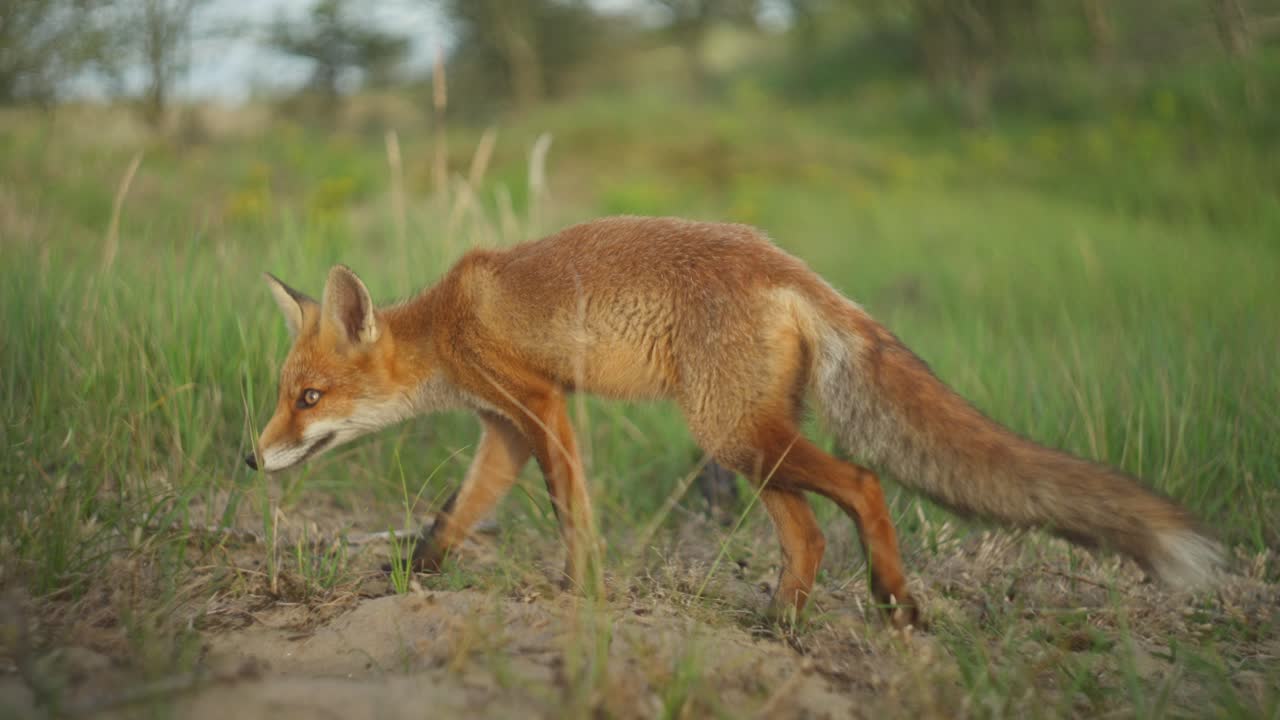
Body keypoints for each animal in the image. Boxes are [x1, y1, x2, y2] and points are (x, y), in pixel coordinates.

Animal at [246, 215, 1221, 628]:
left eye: (308, 399)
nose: (252, 460)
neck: (452, 321)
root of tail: (793, 266)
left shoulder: (542, 407)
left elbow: (572, 514)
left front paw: (585, 592)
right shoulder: (507, 430)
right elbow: (453, 517)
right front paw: (410, 577)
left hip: (735, 436)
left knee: (862, 482)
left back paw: (895, 602)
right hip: (750, 444)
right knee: (808, 534)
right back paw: (781, 621)